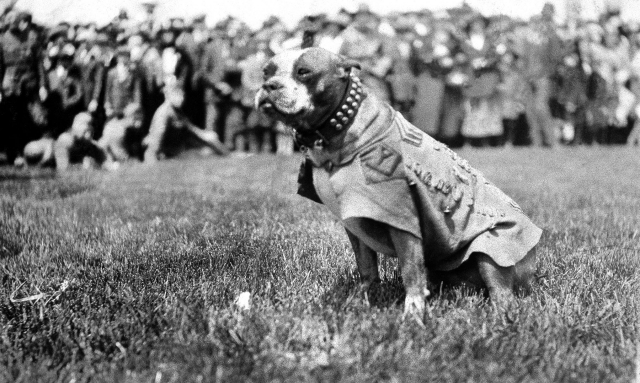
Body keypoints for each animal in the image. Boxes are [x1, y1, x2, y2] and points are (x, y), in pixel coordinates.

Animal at [255, 48, 540, 316]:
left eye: (304, 72)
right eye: (266, 72)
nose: (269, 86)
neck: (339, 129)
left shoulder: (403, 221)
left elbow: (410, 269)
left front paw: (413, 313)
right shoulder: (355, 222)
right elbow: (367, 268)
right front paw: (359, 300)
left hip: (493, 248)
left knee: (501, 291)